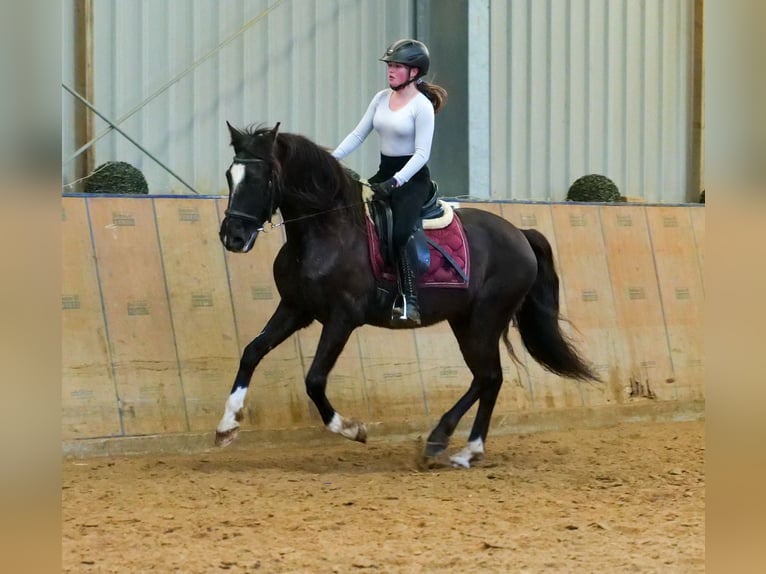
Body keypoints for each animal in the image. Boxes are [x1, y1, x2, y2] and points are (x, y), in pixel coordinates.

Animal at [216, 121, 600, 468]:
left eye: (261, 178)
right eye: (230, 175)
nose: (232, 236)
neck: (327, 230)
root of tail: (520, 234)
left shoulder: (342, 318)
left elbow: (314, 379)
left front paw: (353, 429)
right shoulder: (296, 308)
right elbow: (251, 352)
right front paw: (227, 426)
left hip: (485, 319)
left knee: (490, 377)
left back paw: (455, 446)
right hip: (465, 321)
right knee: (487, 377)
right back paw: (454, 445)